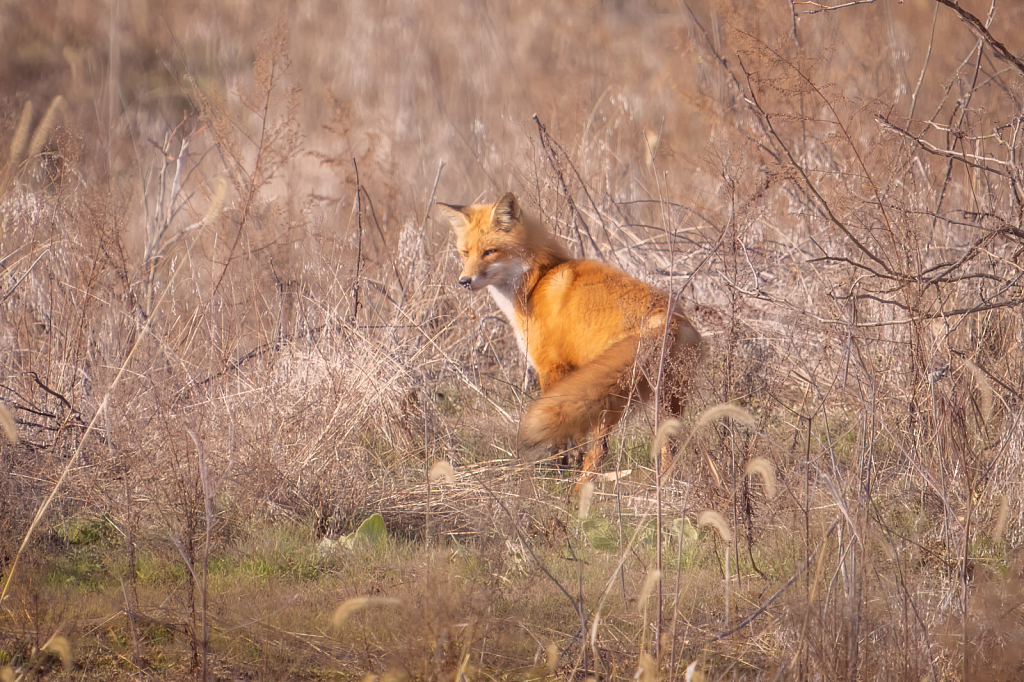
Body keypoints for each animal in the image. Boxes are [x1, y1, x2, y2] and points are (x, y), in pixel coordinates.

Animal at [436, 191, 700, 477]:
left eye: (490, 252)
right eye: (465, 253)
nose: (464, 281)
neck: (536, 280)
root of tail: (667, 319)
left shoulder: (550, 367)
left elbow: (561, 436)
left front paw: (559, 467)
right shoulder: (572, 375)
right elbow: (576, 435)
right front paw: (569, 462)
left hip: (608, 397)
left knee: (601, 449)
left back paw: (583, 484)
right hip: (666, 398)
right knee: (669, 446)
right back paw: (666, 482)